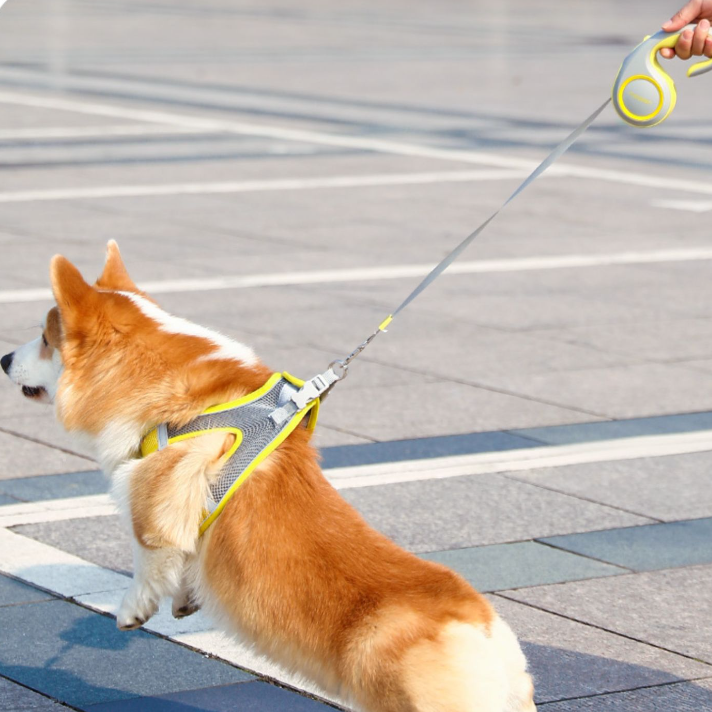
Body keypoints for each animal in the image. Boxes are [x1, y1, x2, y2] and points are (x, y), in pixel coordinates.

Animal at [0, 241, 536, 712]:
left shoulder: (156, 502)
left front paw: (133, 610)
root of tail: (491, 639)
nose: (3, 359)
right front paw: (185, 600)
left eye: (46, 340)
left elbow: (148, 557)